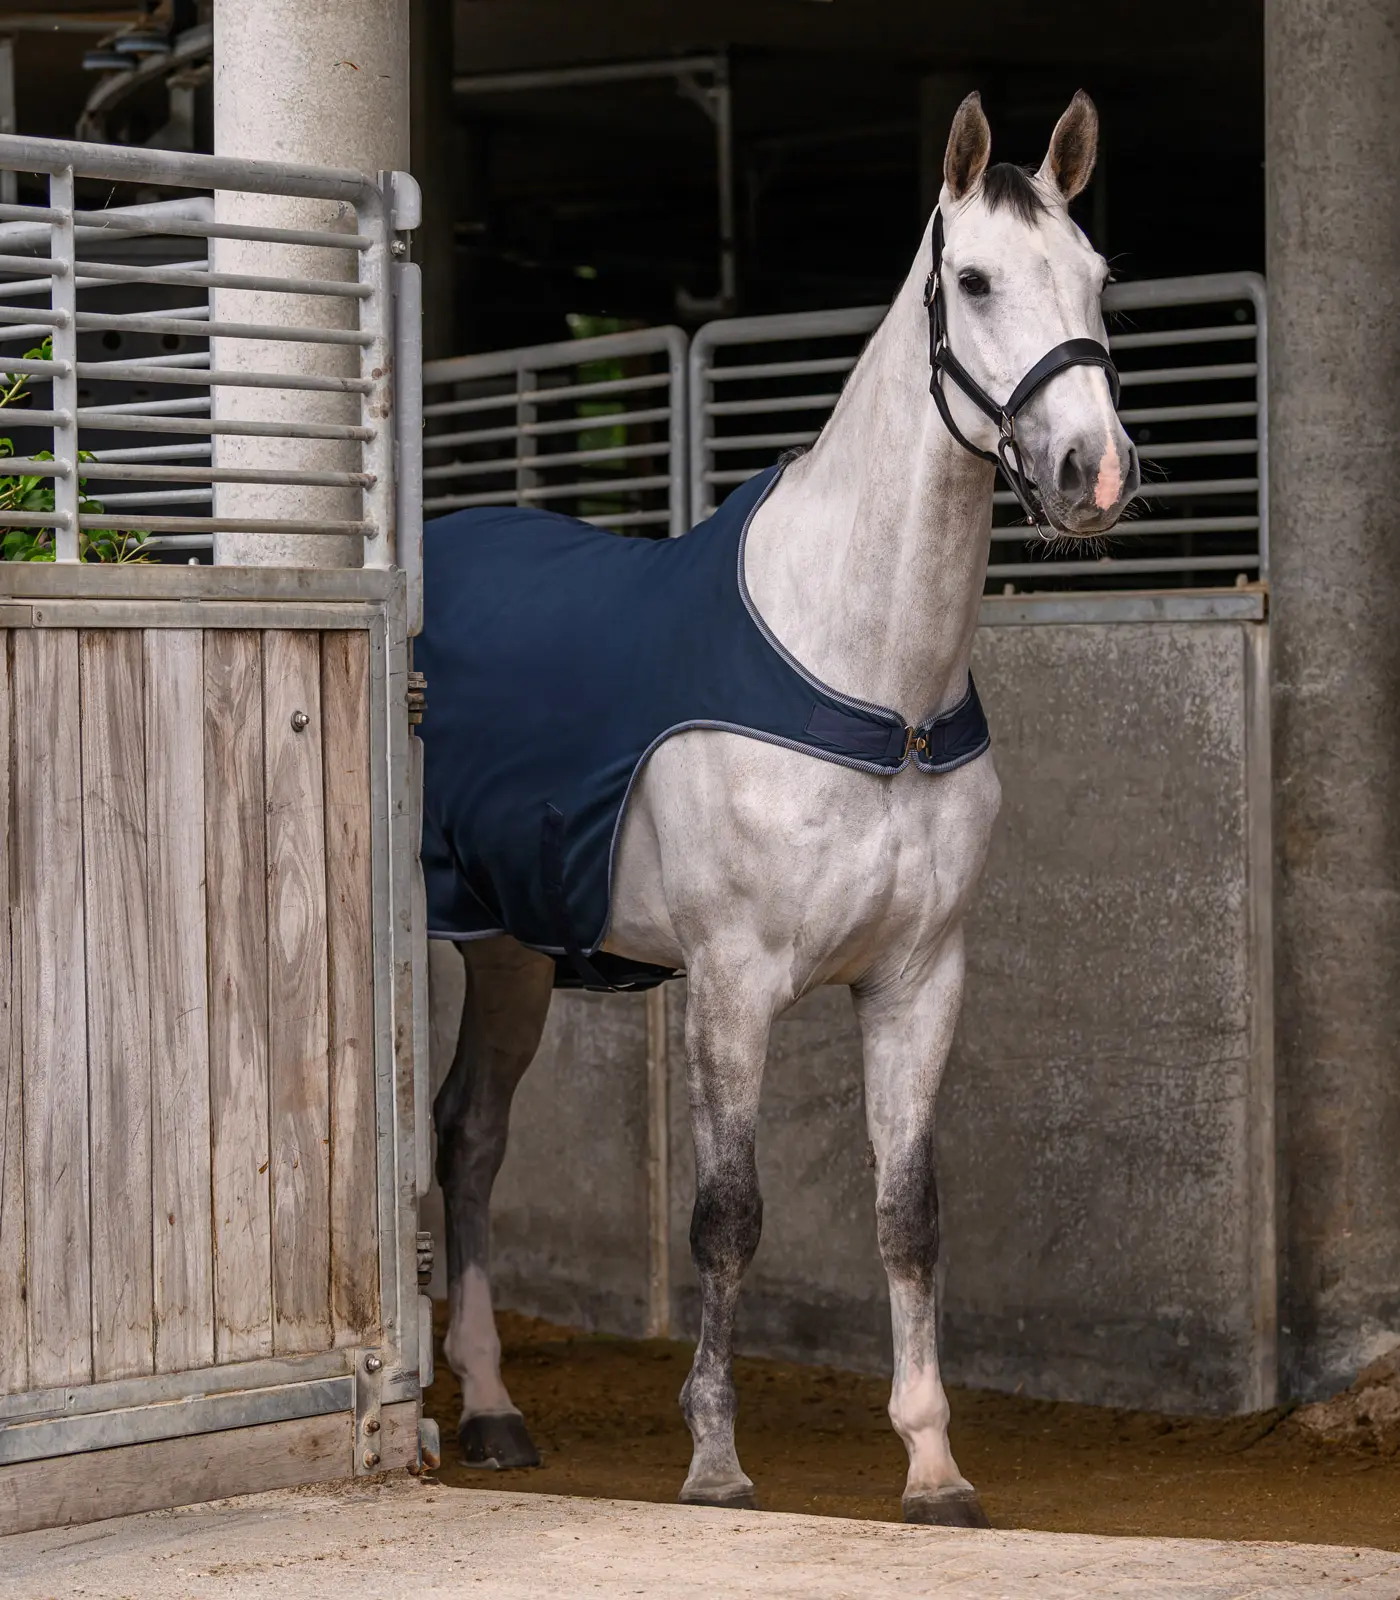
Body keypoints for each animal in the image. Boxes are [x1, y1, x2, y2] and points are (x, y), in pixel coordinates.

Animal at [425, 89, 1138, 1527]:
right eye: (974, 281)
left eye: (1097, 279)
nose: (1093, 472)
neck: (874, 676)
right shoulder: (734, 980)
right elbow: (727, 1213)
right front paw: (713, 1461)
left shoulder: (920, 979)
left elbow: (909, 1214)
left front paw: (932, 1466)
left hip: (514, 952)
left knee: (470, 1137)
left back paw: (490, 1409)